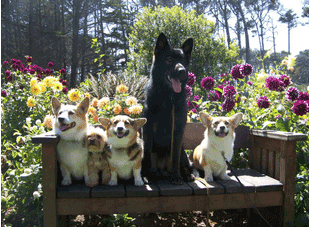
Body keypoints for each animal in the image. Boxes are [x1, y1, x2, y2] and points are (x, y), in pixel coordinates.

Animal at [141, 32, 192, 184]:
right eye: (169, 60)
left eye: (183, 61)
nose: (182, 71)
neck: (168, 98)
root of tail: (162, 170)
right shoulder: (148, 129)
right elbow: (147, 155)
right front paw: (146, 176)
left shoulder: (178, 131)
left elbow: (175, 157)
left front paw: (176, 177)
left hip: (183, 152)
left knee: (184, 164)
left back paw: (186, 175)